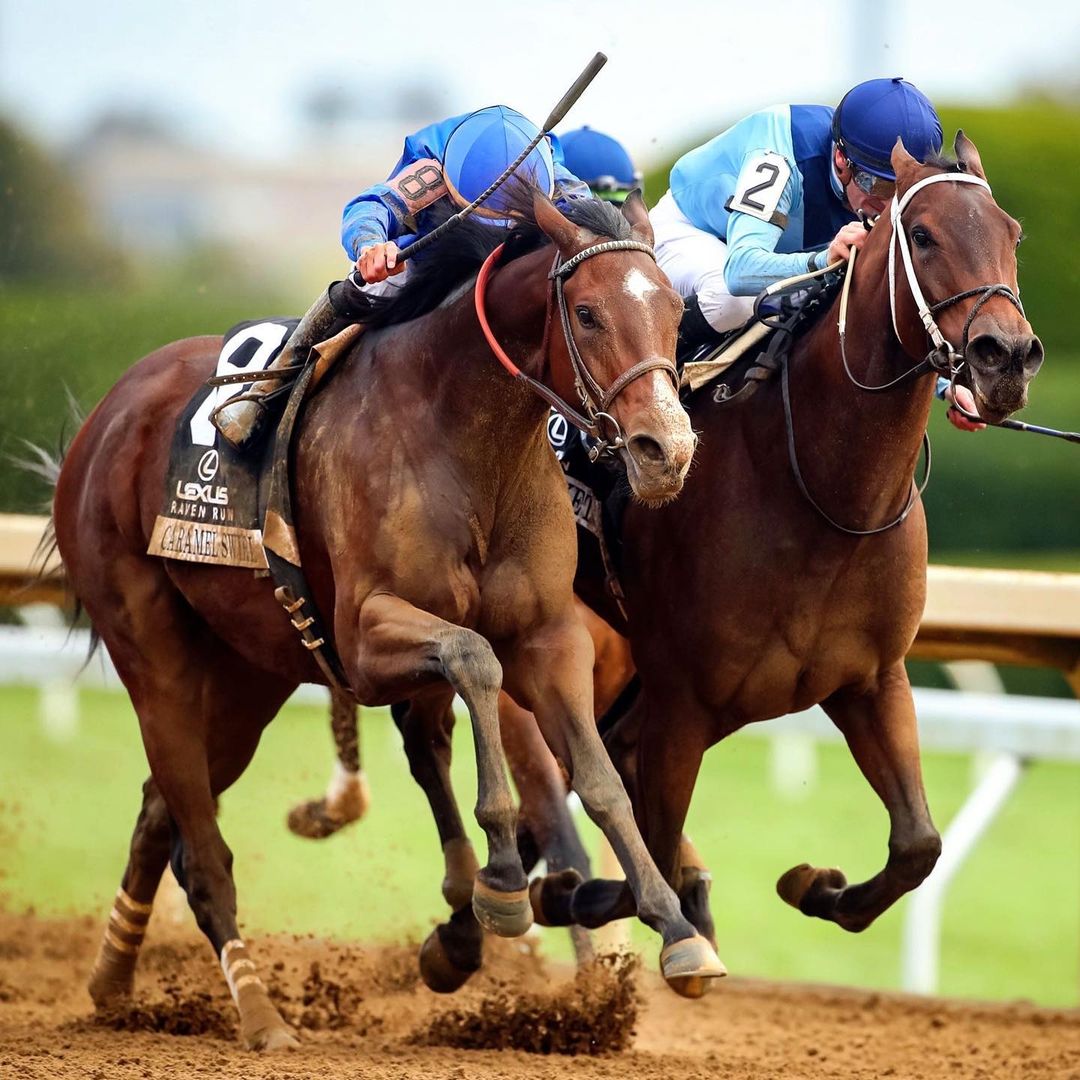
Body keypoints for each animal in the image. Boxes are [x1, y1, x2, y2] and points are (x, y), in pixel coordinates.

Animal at [54, 190, 725, 1049]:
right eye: (587, 312)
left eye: (673, 309)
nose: (665, 450)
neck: (466, 435)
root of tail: (108, 412)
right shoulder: (366, 639)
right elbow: (475, 661)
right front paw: (500, 883)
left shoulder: (551, 634)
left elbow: (599, 780)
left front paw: (677, 930)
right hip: (153, 650)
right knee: (202, 852)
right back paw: (262, 1016)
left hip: (245, 677)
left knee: (156, 811)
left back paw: (112, 980)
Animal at [369, 132, 1036, 993]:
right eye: (922, 236)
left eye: (1012, 232)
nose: (1007, 356)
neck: (822, 492)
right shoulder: (684, 701)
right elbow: (642, 837)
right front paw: (591, 900)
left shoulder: (870, 680)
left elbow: (919, 843)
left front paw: (813, 884)